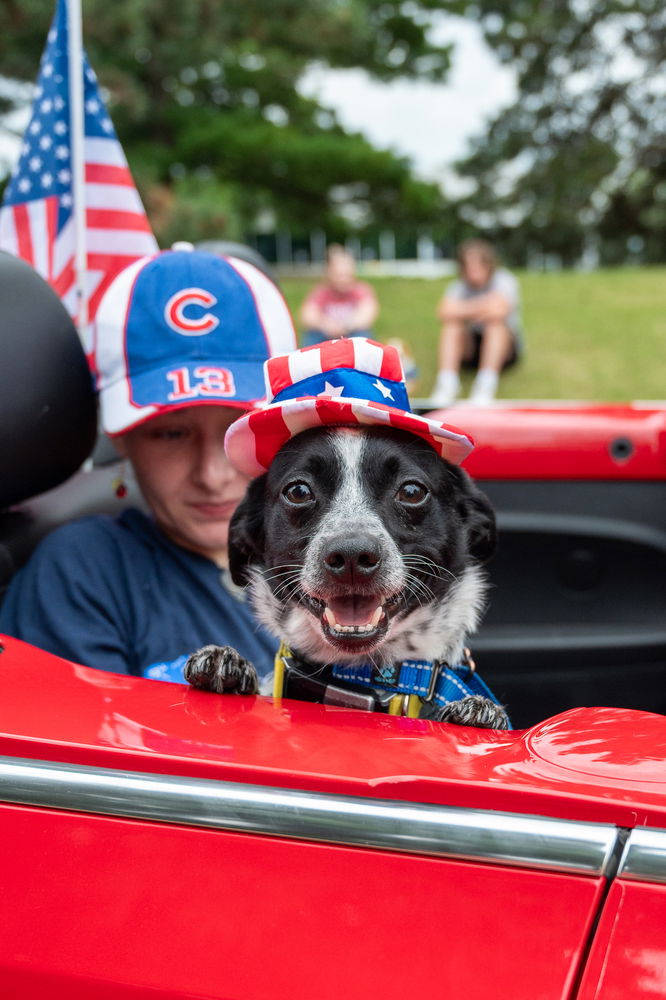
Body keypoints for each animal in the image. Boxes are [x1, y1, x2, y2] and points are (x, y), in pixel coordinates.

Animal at [184, 422, 506, 728]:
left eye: (412, 491)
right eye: (298, 491)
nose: (351, 554)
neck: (353, 680)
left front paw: (476, 712)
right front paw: (225, 665)